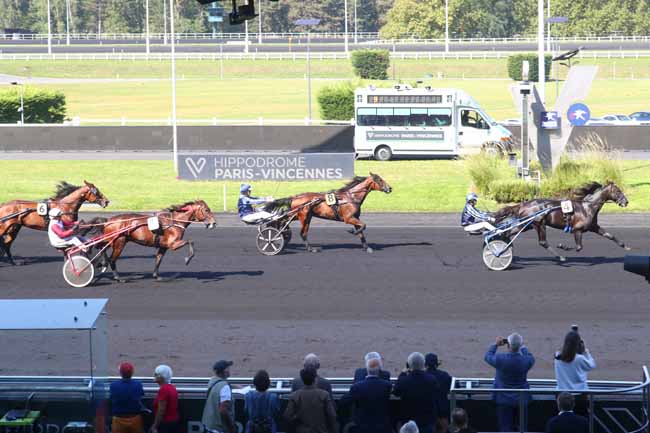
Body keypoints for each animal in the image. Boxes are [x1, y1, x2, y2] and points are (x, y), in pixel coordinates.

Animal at [82, 198, 215, 280]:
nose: (214, 223)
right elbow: (190, 241)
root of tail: (108, 220)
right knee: (111, 258)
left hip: (112, 240)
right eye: (206, 210)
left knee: (100, 246)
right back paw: (117, 277)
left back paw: (102, 263)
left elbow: (158, 259)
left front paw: (156, 275)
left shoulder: (163, 246)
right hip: (119, 241)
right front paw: (187, 259)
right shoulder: (173, 244)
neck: (174, 222)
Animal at [492, 181, 628, 260]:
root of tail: (523, 204)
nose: (626, 202)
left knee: (508, 233)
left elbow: (609, 235)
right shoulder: (577, 230)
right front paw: (563, 246)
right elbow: (579, 247)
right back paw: (561, 257)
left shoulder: (593, 227)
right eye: (618, 191)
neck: (587, 207)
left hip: (526, 224)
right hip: (539, 224)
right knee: (543, 242)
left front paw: (625, 246)